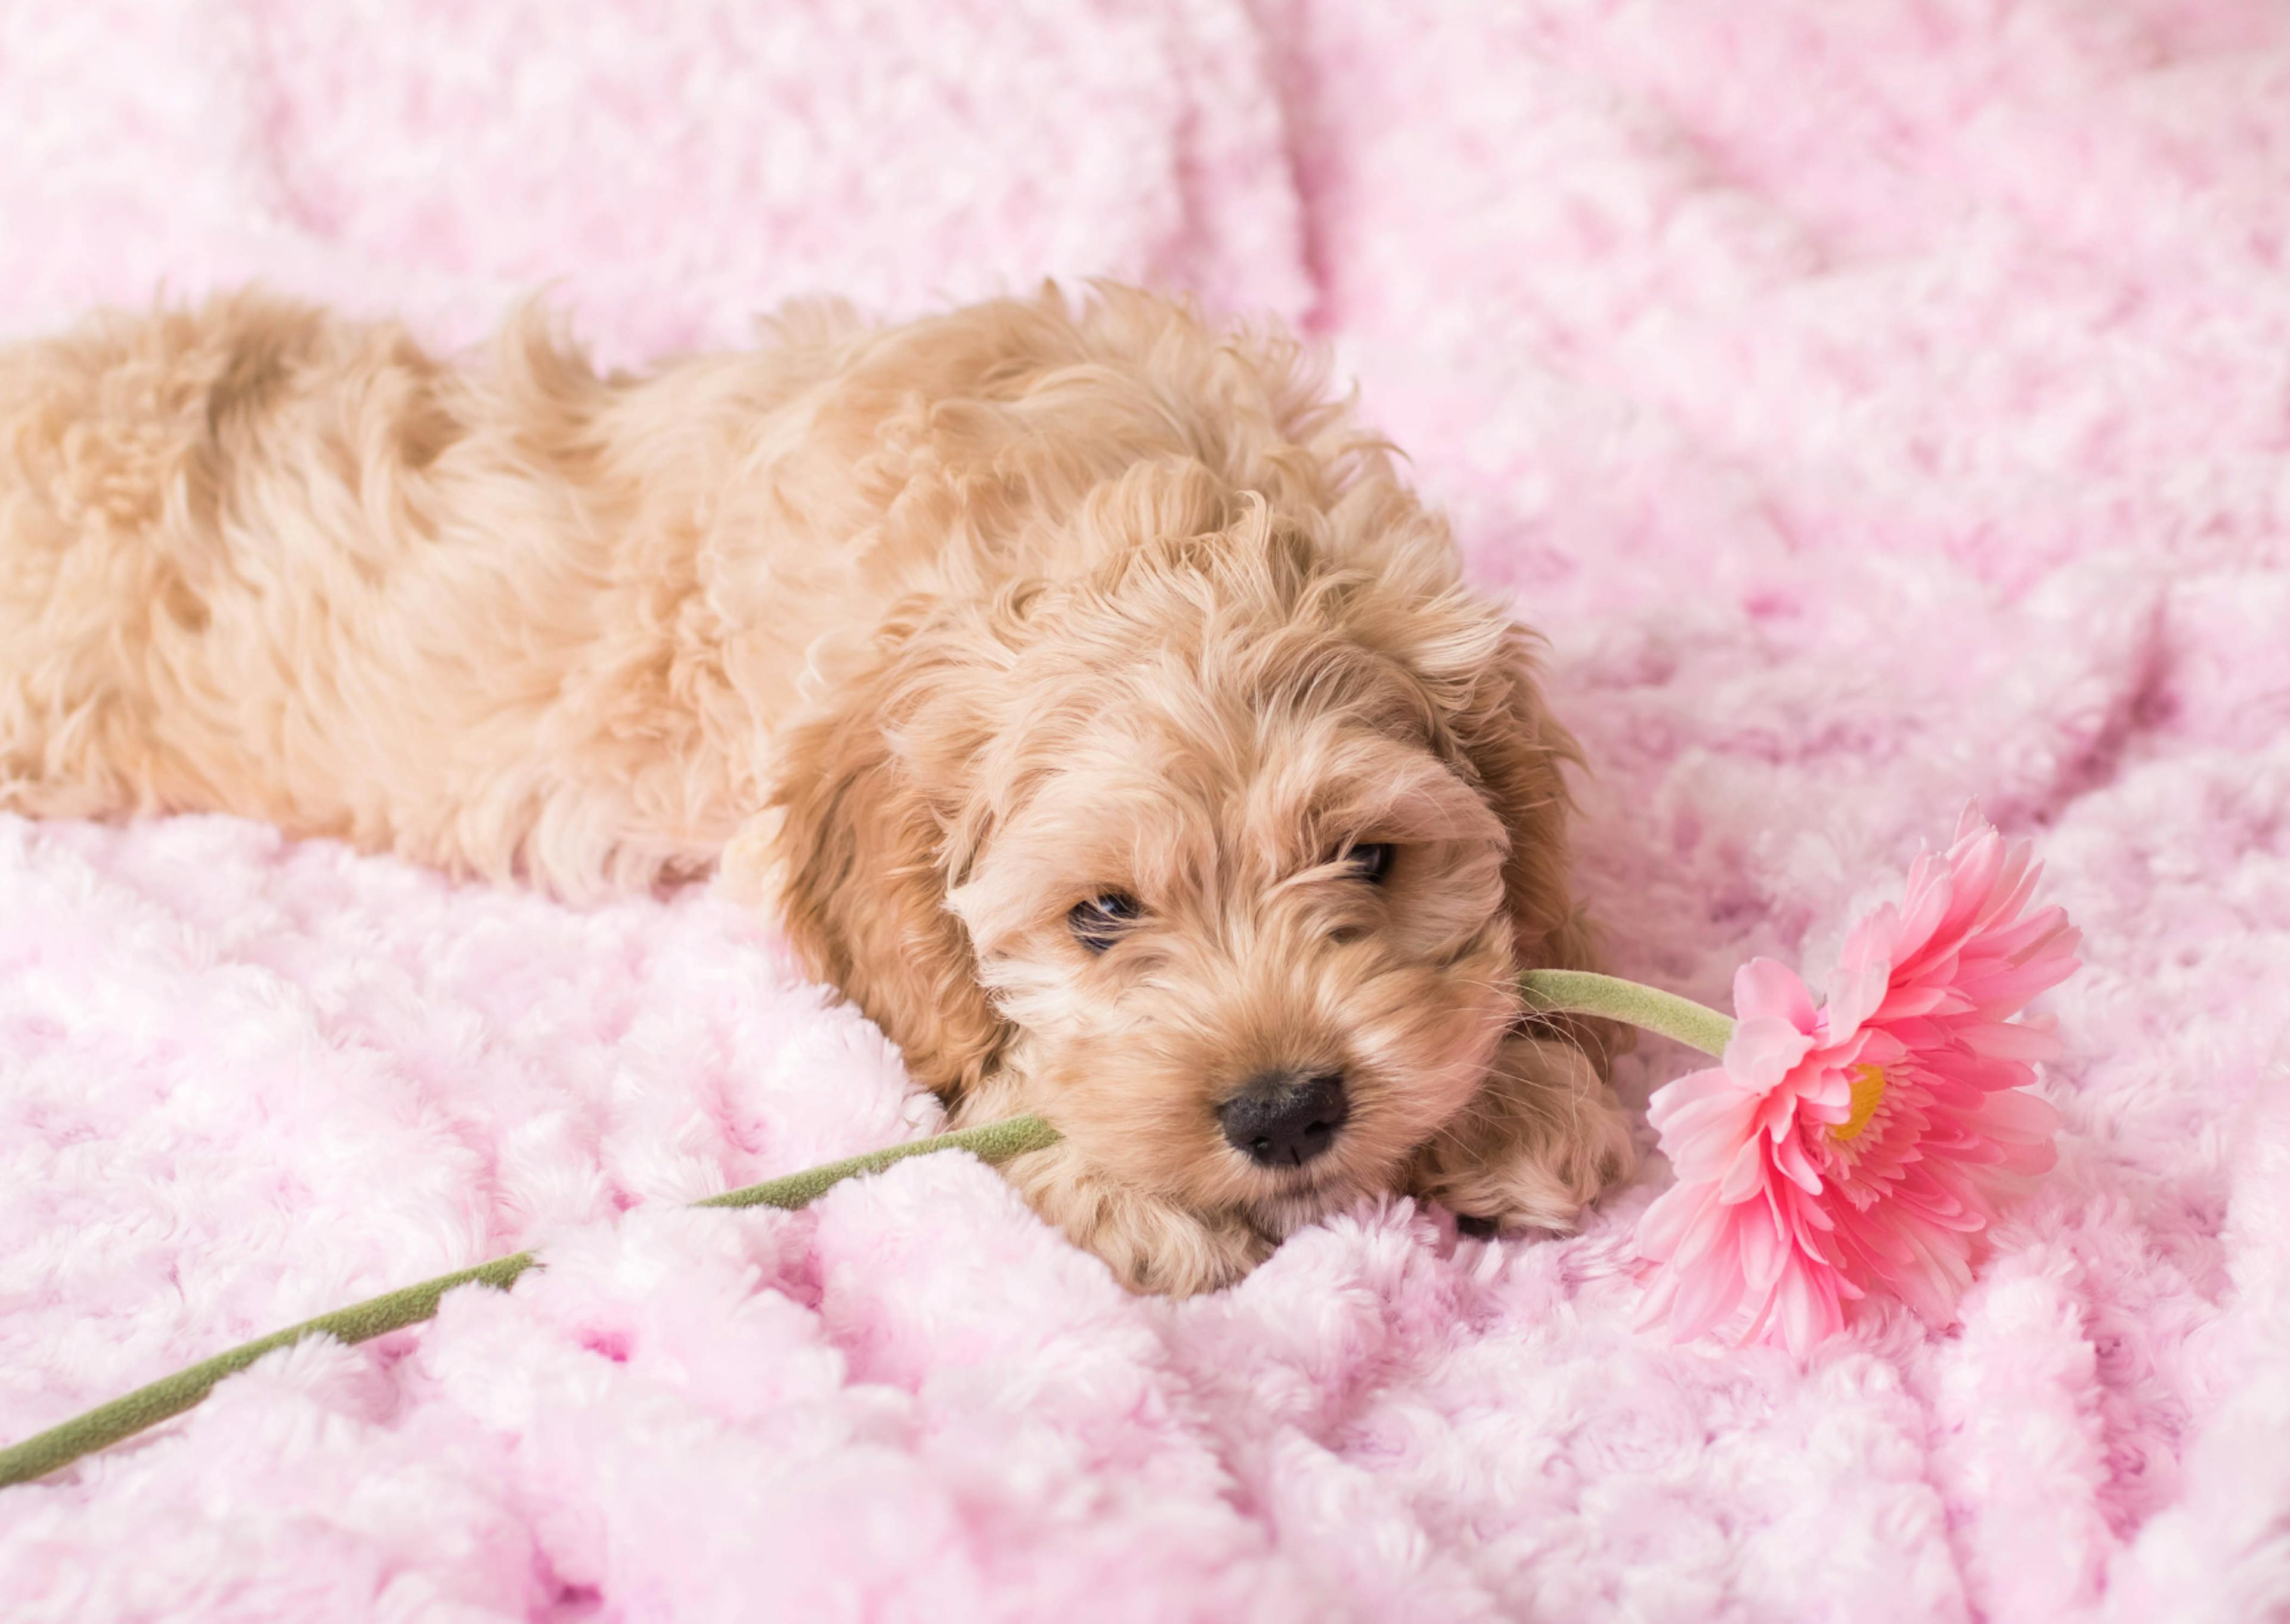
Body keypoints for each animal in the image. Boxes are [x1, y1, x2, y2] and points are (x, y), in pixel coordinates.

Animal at [9, 281, 1639, 1291]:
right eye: (1102, 914)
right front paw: (1121, 1188)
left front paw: (1516, 1095)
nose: (1288, 1111)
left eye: (1369, 859)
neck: (1117, 510)